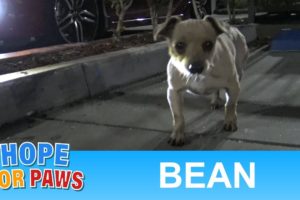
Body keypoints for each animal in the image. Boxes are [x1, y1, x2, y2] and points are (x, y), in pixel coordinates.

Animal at [155, 15, 248, 146]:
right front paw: (178, 134)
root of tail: (233, 27)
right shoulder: (173, 93)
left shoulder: (233, 86)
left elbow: (230, 105)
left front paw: (230, 120)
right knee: (216, 91)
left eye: (208, 44)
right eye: (179, 45)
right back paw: (215, 100)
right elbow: (178, 117)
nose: (195, 68)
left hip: (239, 72)